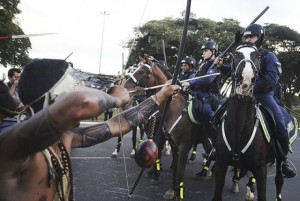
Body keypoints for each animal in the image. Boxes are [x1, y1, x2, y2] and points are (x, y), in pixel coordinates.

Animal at [123, 54, 210, 200]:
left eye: (142, 71)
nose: (126, 87)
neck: (173, 106)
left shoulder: (183, 146)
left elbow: (179, 171)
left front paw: (177, 192)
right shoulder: (172, 143)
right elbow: (174, 167)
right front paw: (172, 189)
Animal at [212, 43, 296, 200]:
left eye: (258, 56)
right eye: (236, 54)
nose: (246, 78)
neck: (239, 128)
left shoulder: (260, 168)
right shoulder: (221, 163)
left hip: (279, 159)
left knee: (279, 180)